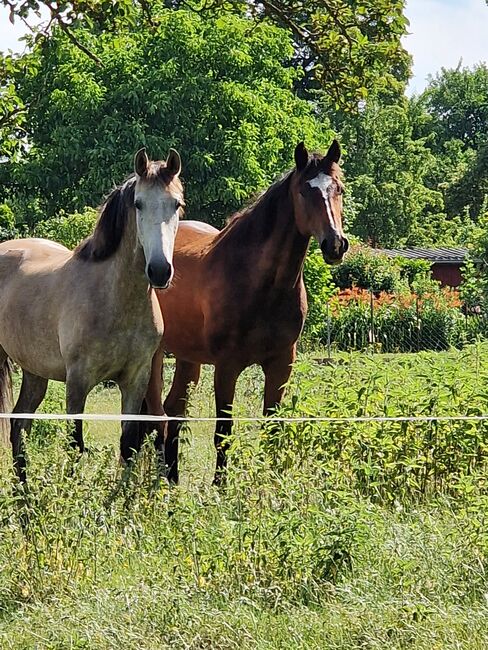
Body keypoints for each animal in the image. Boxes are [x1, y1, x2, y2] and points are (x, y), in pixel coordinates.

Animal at [0, 148, 183, 480]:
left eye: (176, 204)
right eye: (138, 203)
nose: (160, 271)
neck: (115, 300)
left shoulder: (135, 380)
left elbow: (127, 445)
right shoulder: (78, 382)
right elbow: (75, 444)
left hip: (34, 372)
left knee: (19, 426)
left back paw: (25, 494)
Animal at [144, 140, 346, 480]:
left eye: (339, 189)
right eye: (304, 191)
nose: (335, 244)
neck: (262, 284)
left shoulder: (281, 364)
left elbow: (272, 429)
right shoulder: (227, 367)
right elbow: (223, 433)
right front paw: (220, 486)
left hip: (188, 358)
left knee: (173, 410)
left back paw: (171, 479)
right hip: (155, 357)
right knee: (152, 413)